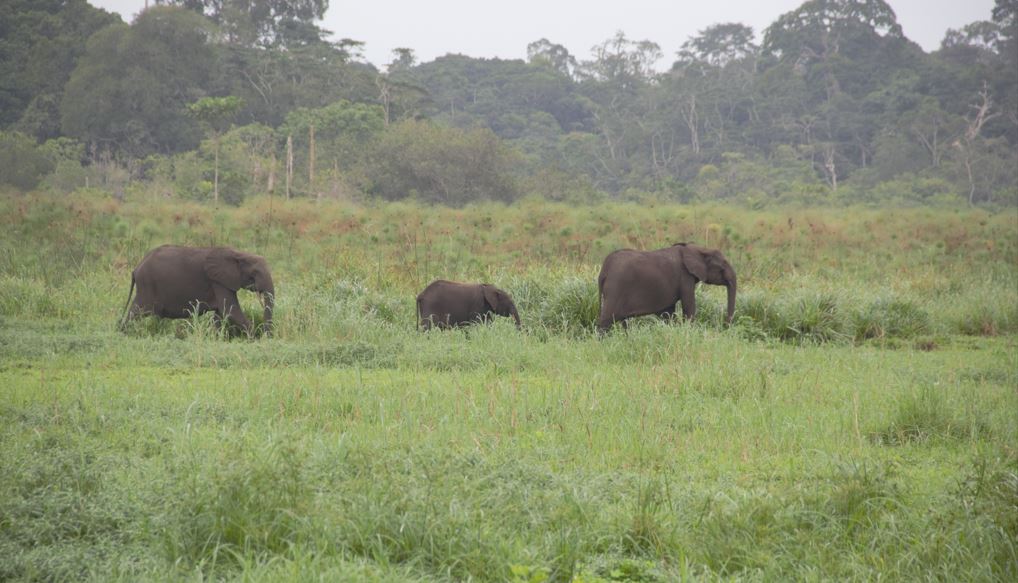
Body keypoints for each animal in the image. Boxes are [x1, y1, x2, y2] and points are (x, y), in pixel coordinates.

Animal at [119, 244, 276, 335]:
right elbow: (231, 311)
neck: (238, 254)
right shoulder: (218, 282)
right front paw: (254, 338)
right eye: (255, 273)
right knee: (136, 312)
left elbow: (220, 315)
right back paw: (124, 334)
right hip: (147, 286)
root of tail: (136, 269)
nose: (266, 336)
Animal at [594, 242, 737, 331]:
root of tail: (604, 270)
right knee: (606, 321)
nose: (725, 326)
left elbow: (667, 312)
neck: (698, 249)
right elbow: (689, 306)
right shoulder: (685, 277)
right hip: (615, 288)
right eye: (722, 268)